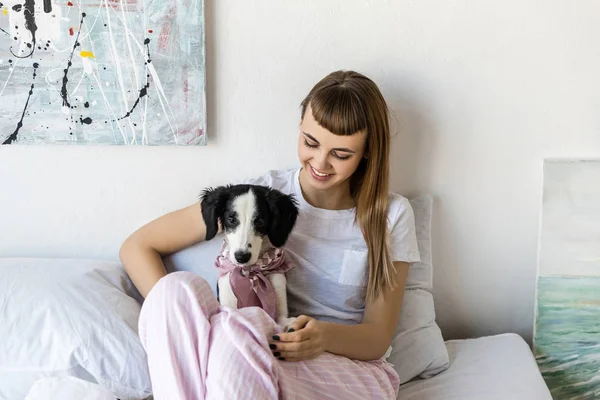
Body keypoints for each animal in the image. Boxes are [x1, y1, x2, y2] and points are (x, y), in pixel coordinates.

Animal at [200, 183, 298, 326]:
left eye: (260, 221)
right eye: (231, 219)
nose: (241, 257)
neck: (249, 273)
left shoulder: (280, 305)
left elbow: (283, 322)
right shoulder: (228, 307)